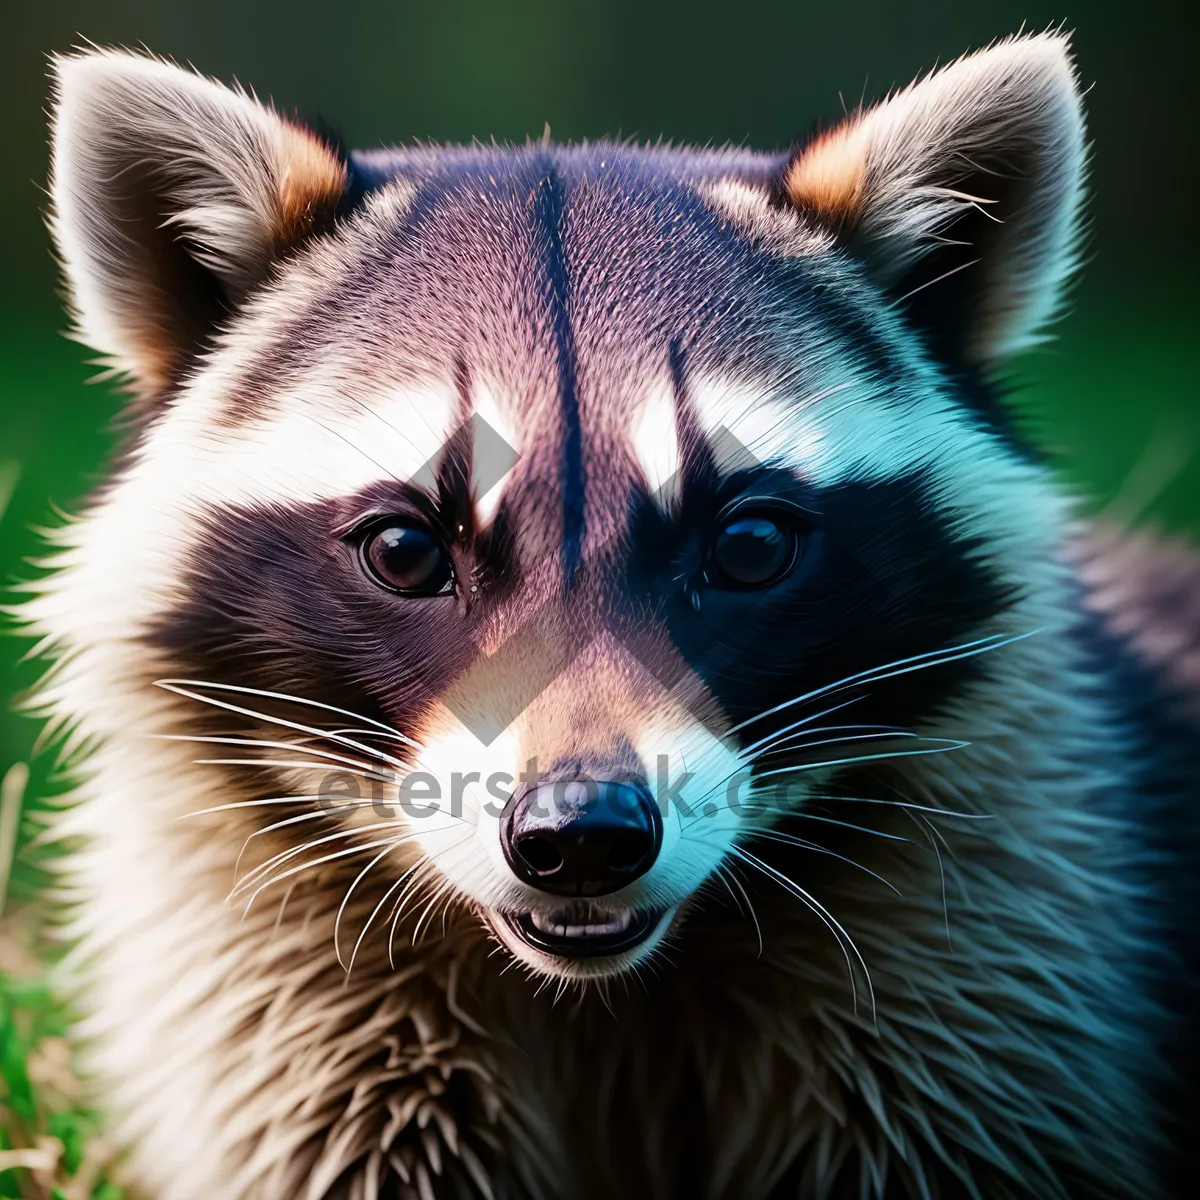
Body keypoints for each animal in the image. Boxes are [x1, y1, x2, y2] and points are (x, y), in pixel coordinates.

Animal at [28, 28, 1200, 1200]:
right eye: (406, 551)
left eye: (749, 547)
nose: (582, 836)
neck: (599, 993)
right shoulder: (288, 1002)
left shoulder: (984, 949)